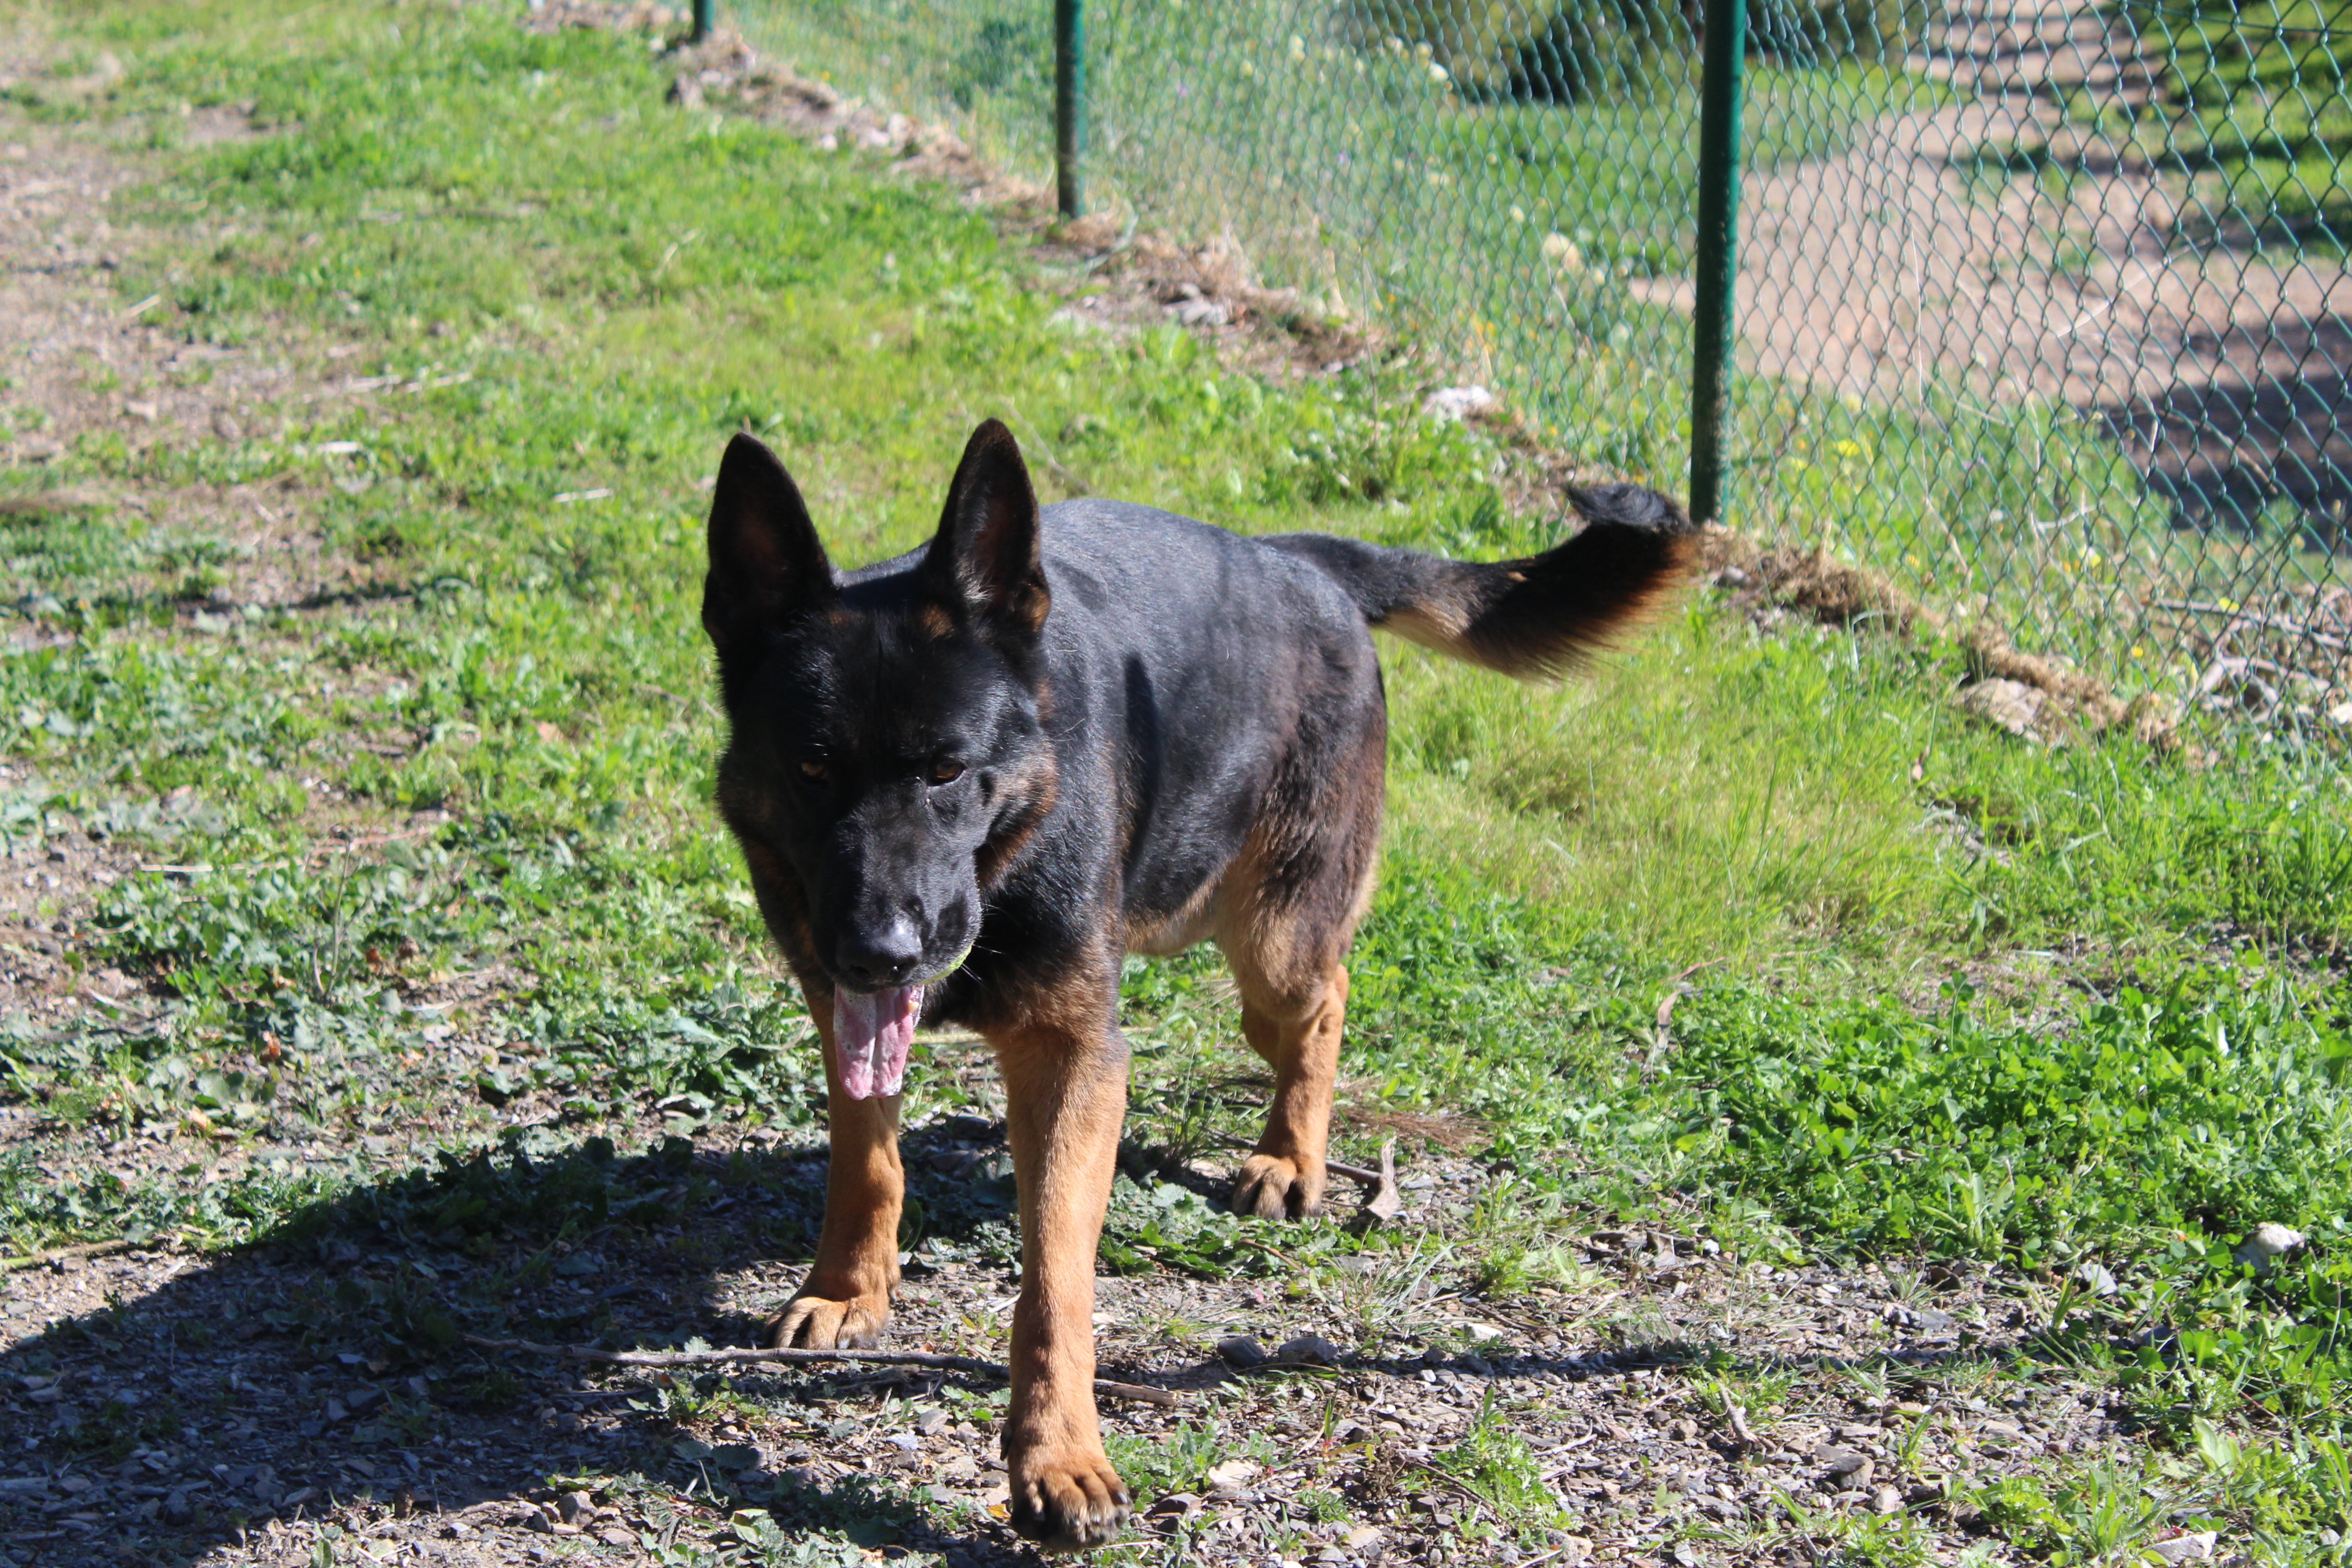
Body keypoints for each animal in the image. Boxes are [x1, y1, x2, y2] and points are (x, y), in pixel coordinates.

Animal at [696, 423, 1693, 1551]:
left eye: (948, 771)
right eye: (811, 770)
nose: (881, 950)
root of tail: (1295, 558)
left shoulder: (1074, 1056)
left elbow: (1055, 1280)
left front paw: (1057, 1454)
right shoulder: (843, 1010)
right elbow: (866, 1163)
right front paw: (850, 1289)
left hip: (1271, 943)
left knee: (1325, 1000)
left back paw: (1292, 1156)